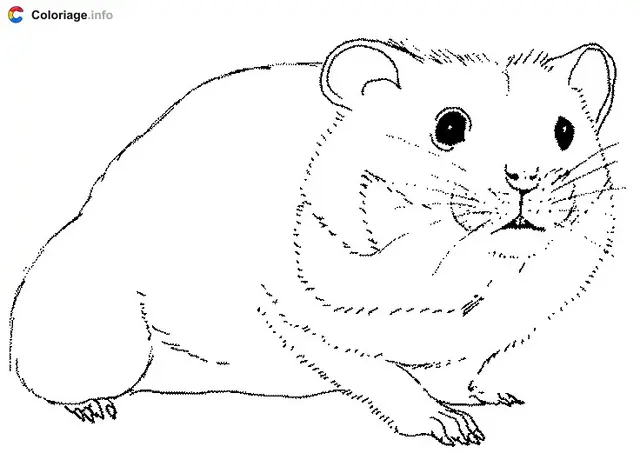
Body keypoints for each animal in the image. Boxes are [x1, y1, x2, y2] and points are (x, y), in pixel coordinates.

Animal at [9, 38, 618, 445]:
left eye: (565, 130)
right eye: (449, 126)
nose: (526, 178)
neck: (475, 267)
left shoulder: (496, 326)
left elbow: (464, 369)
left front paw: (492, 396)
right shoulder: (306, 312)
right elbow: (384, 373)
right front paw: (448, 424)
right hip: (98, 331)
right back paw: (94, 407)